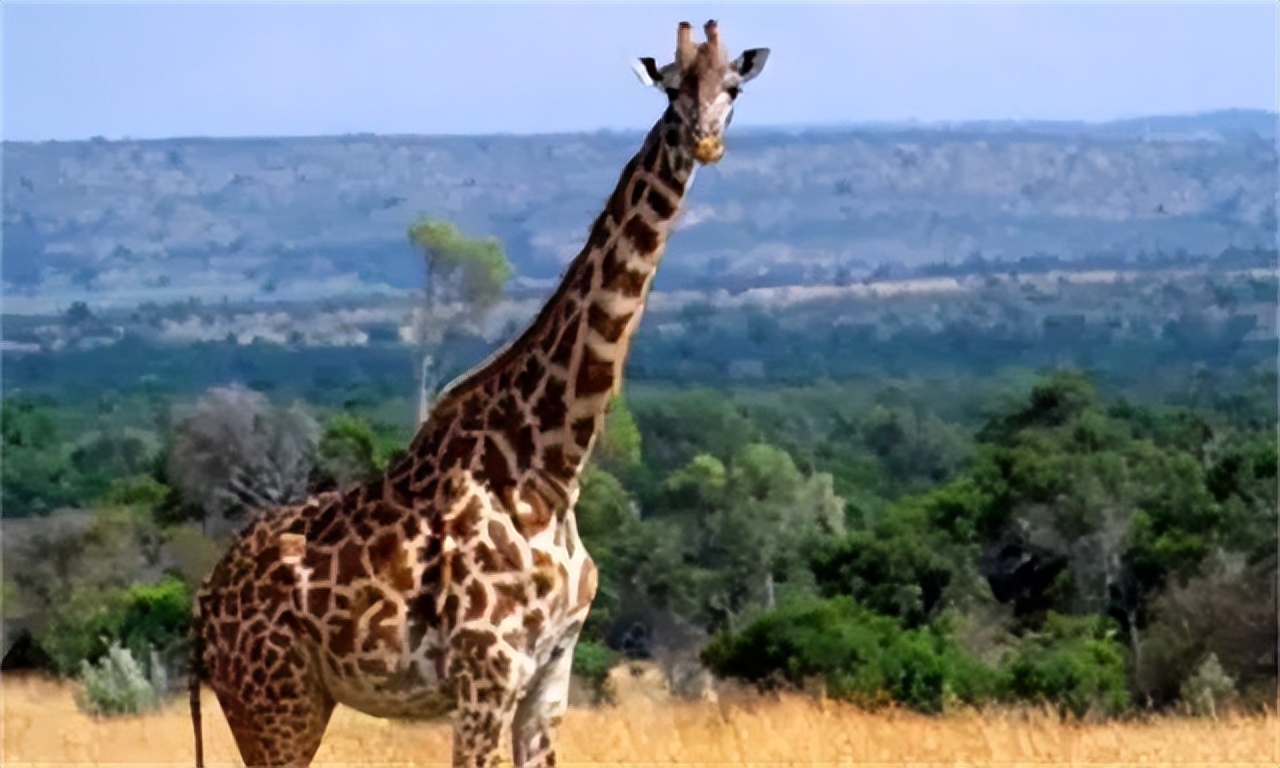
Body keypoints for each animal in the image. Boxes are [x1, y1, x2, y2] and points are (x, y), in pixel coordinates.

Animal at [189, 19, 768, 768]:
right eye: (670, 89)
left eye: (733, 86)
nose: (704, 140)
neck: (551, 469)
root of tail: (204, 602)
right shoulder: (484, 672)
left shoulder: (551, 673)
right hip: (272, 701)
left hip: (290, 702)